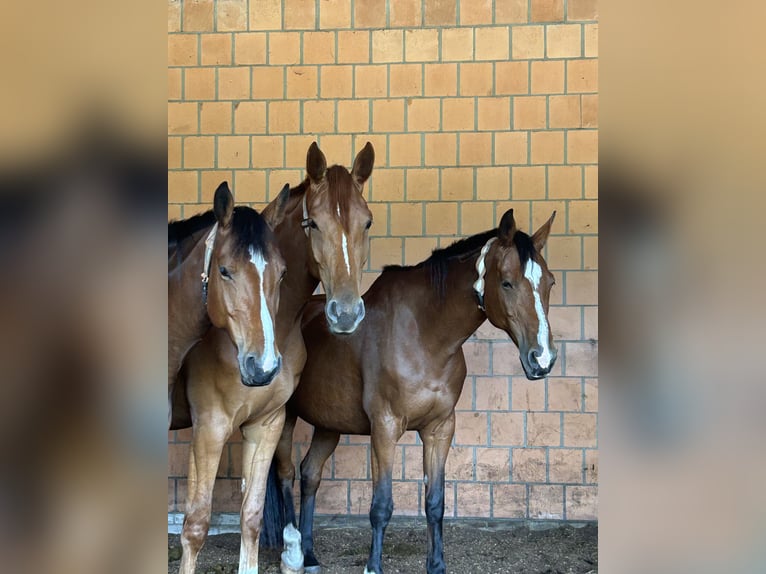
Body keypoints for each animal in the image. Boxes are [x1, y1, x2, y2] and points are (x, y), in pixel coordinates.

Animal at [172, 141, 376, 574]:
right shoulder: (210, 426)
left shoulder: (268, 421)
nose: (346, 313)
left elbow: (251, 514)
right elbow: (196, 523)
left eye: (366, 223)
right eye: (313, 224)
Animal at [267, 208, 558, 574]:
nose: (542, 358)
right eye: (507, 282)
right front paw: (373, 566)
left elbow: (435, 502)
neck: (425, 334)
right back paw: (290, 551)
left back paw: (309, 554)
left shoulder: (439, 429)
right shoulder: (385, 428)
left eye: (550, 282)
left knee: (310, 474)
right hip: (285, 416)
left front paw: (437, 565)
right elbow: (381, 505)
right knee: (285, 475)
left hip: (328, 423)